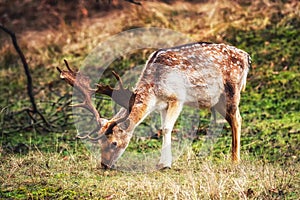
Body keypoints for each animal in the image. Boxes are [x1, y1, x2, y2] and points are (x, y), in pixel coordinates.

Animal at [56, 41, 251, 169]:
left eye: (114, 143)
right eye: (100, 143)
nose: (104, 165)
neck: (155, 92)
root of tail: (247, 57)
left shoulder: (177, 98)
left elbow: (166, 129)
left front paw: (165, 164)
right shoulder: (163, 105)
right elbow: (163, 127)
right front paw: (162, 162)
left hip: (232, 89)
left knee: (237, 119)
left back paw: (235, 160)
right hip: (216, 100)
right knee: (232, 119)